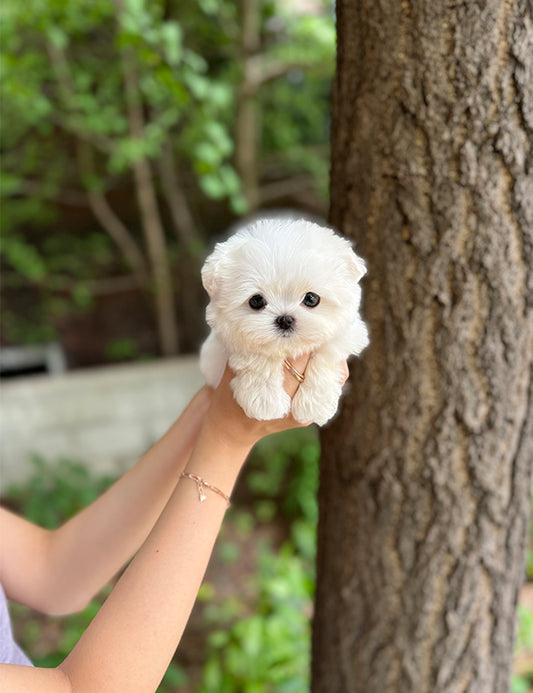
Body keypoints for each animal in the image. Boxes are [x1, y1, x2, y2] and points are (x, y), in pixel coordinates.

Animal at [197, 216, 368, 424]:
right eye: (256, 301)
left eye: (311, 299)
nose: (285, 320)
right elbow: (258, 355)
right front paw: (264, 401)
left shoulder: (347, 333)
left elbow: (326, 353)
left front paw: (313, 405)